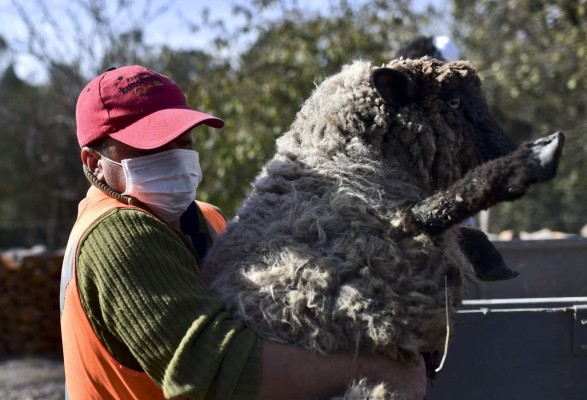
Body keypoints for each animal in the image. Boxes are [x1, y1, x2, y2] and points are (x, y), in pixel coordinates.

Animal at [202, 57, 564, 398]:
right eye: (455, 102)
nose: (507, 148)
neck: (344, 150)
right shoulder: (384, 247)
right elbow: (439, 209)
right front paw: (529, 161)